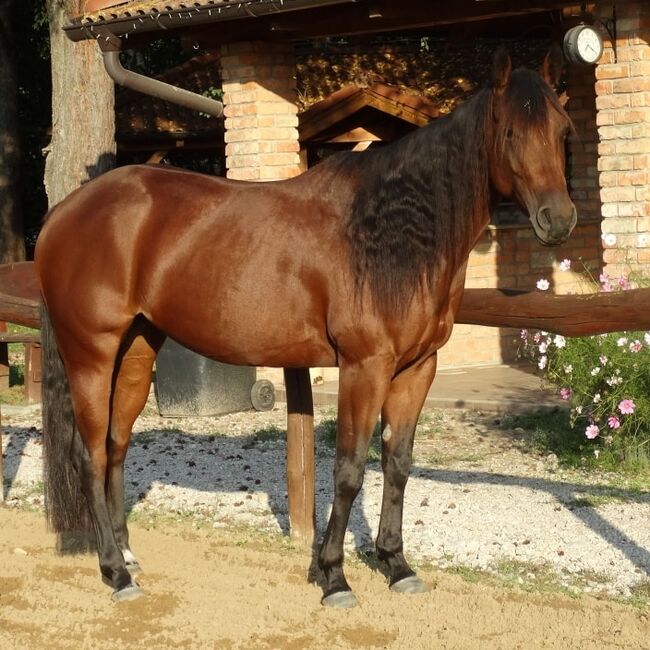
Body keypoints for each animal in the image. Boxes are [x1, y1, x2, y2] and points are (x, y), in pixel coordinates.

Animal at [34, 48, 572, 604]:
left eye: (563, 129)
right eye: (509, 132)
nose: (558, 220)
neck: (390, 233)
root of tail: (63, 215)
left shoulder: (418, 367)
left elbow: (397, 463)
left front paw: (396, 565)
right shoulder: (364, 366)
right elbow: (349, 469)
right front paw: (332, 575)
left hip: (137, 349)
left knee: (117, 445)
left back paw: (128, 556)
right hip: (91, 355)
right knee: (90, 455)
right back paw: (115, 573)